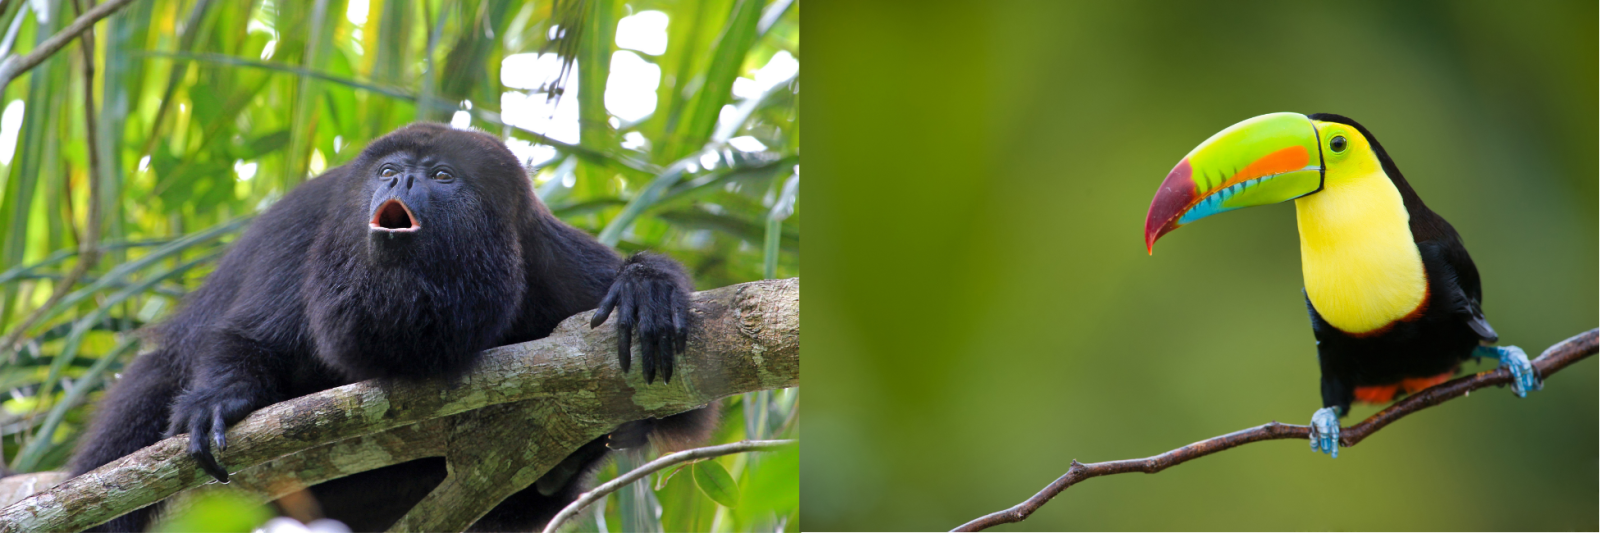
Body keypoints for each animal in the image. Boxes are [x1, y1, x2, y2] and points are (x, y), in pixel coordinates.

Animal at [68, 123, 716, 528]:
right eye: (387, 170)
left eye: (442, 175)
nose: (400, 181)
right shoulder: (312, 226)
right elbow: (250, 338)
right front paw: (218, 400)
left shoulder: (546, 256)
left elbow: (682, 407)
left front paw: (645, 287)